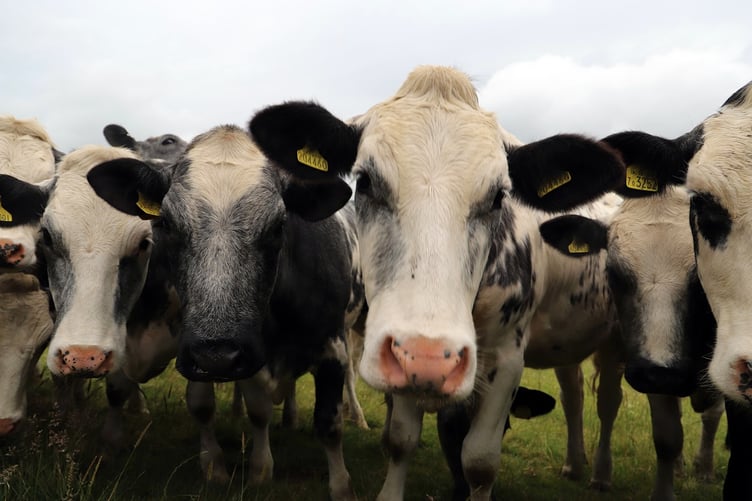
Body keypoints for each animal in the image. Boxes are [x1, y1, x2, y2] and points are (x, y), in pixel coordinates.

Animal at [86, 125, 367, 500]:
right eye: (166, 225)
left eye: (279, 225)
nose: (215, 355)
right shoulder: (247, 358)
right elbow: (255, 412)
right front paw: (256, 469)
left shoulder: (331, 347)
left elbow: (329, 423)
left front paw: (341, 486)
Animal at [245, 65, 625, 500]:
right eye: (365, 181)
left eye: (500, 195)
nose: (428, 356)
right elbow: (401, 439)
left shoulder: (509, 358)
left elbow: (480, 460)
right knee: (573, 391)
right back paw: (574, 464)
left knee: (608, 401)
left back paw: (600, 472)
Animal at [540, 186, 724, 500]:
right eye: (613, 272)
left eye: (702, 275)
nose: (658, 371)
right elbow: (666, 435)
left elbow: (712, 415)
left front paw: (704, 469)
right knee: (575, 396)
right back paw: (577, 465)